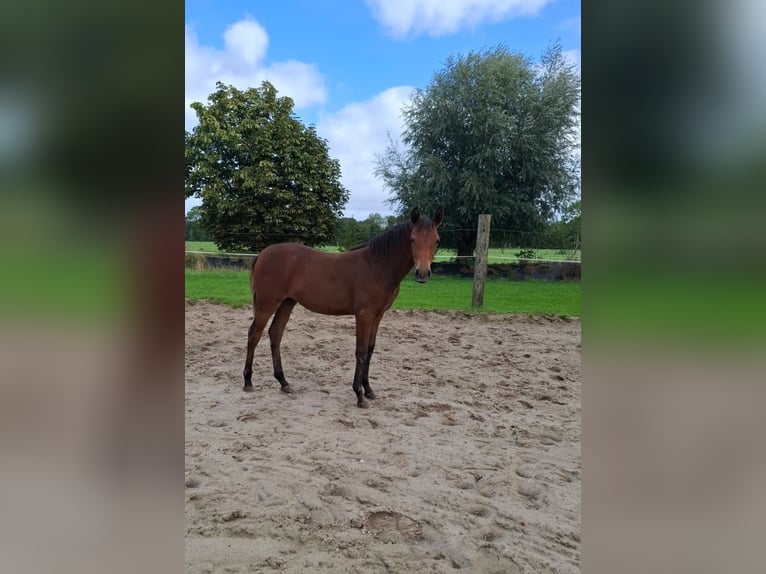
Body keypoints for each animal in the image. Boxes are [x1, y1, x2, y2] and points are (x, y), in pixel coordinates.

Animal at [243, 207, 443, 408]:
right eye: (412, 239)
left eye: (437, 241)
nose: (422, 274)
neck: (377, 266)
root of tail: (263, 254)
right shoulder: (364, 315)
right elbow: (361, 351)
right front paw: (359, 395)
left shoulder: (377, 316)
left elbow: (370, 350)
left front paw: (369, 390)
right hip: (267, 305)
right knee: (254, 335)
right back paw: (248, 381)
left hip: (287, 303)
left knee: (275, 334)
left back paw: (283, 382)